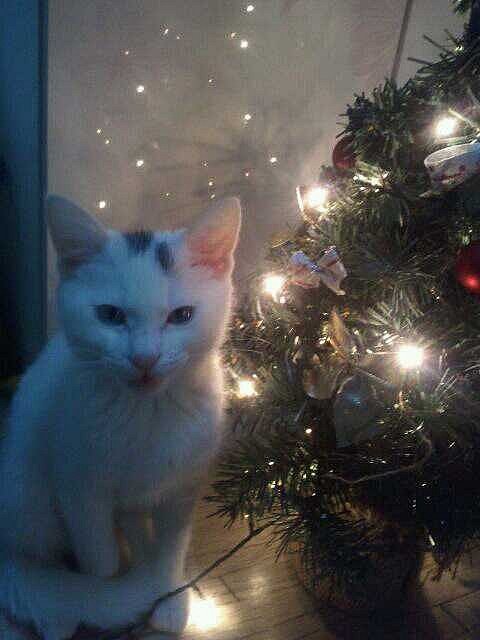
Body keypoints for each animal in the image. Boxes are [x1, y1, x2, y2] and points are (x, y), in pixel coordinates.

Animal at [0, 194, 241, 639]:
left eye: (182, 316)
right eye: (110, 315)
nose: (144, 358)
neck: (147, 414)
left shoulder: (184, 484)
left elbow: (170, 545)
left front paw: (167, 593)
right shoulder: (78, 488)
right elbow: (100, 562)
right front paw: (112, 595)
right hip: (27, 493)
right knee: (35, 563)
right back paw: (59, 611)